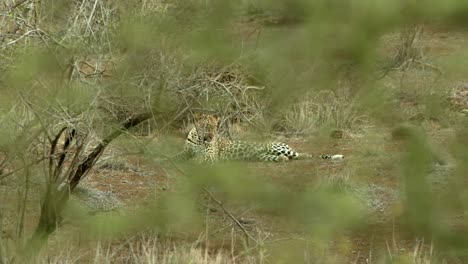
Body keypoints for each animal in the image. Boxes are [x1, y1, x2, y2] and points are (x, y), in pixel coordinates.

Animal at [176, 113, 344, 163]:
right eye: (206, 126)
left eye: (215, 127)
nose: (211, 136)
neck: (199, 140)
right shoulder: (184, 152)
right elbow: (178, 155)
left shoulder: (211, 155)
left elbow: (201, 158)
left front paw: (194, 161)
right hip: (264, 156)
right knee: (286, 157)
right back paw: (283, 159)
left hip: (274, 147)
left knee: (303, 155)